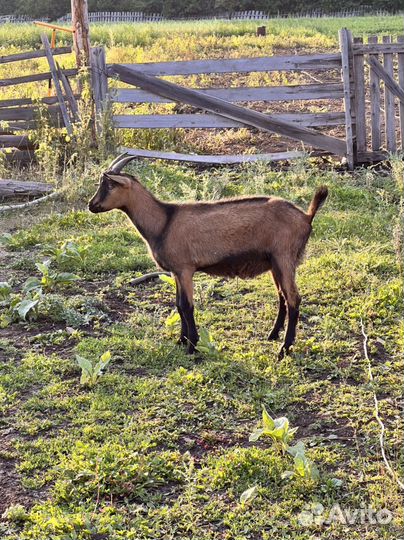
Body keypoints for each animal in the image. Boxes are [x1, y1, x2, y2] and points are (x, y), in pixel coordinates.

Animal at [88, 155, 328, 358]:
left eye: (109, 184)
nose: (91, 205)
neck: (164, 221)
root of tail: (306, 217)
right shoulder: (176, 271)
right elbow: (178, 305)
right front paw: (181, 340)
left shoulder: (185, 268)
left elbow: (187, 306)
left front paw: (192, 346)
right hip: (275, 263)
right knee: (282, 297)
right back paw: (273, 335)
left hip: (284, 257)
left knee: (294, 299)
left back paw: (284, 348)